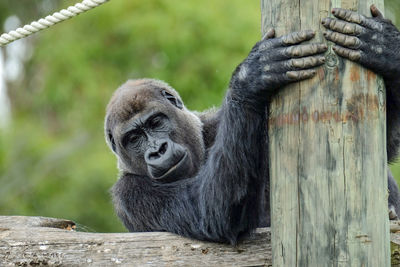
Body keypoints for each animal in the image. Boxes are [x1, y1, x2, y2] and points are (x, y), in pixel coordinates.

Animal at [105, 6, 400, 245]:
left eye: (155, 122)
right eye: (134, 139)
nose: (157, 150)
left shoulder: (216, 123)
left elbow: (383, 141)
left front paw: (384, 48)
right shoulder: (128, 196)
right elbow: (212, 212)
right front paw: (250, 78)